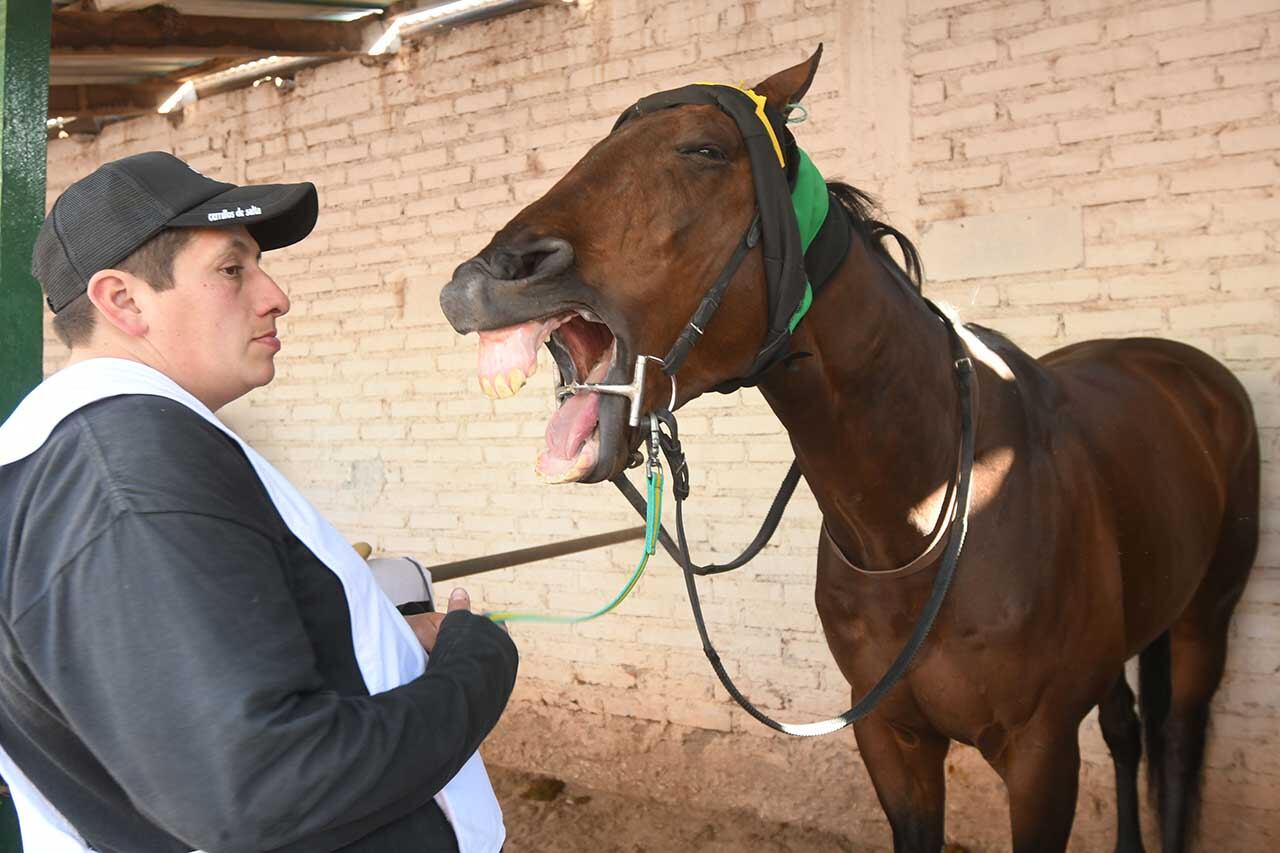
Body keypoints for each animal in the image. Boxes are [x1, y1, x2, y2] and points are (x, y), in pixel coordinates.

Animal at [440, 49, 1259, 845]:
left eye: (704, 149)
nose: (485, 279)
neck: (922, 517)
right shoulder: (893, 743)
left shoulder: (1041, 755)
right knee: (1126, 730)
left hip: (1206, 617)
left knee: (1178, 738)